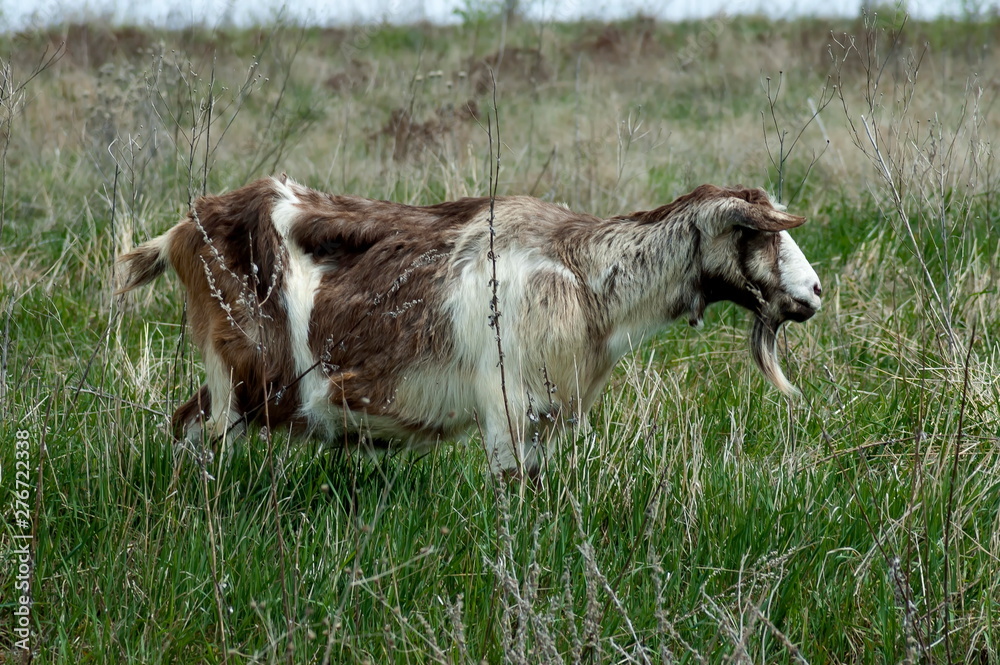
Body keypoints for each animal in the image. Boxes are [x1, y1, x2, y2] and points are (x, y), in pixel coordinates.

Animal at [116, 175, 822, 478]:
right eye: (755, 233)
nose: (813, 290)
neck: (582, 273)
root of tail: (182, 230)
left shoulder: (544, 421)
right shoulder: (507, 410)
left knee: (185, 427)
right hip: (241, 377)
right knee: (204, 434)